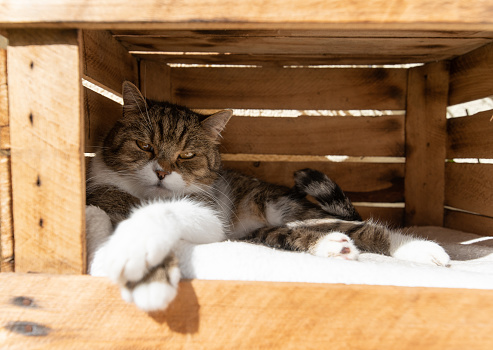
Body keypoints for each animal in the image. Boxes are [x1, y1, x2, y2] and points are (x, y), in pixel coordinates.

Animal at [85, 81, 450, 312]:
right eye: (144, 145)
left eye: (187, 155)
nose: (161, 172)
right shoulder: (102, 194)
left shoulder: (206, 213)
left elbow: (161, 215)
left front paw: (143, 266)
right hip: (266, 229)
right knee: (294, 235)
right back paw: (334, 247)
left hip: (283, 208)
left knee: (366, 228)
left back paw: (423, 250)